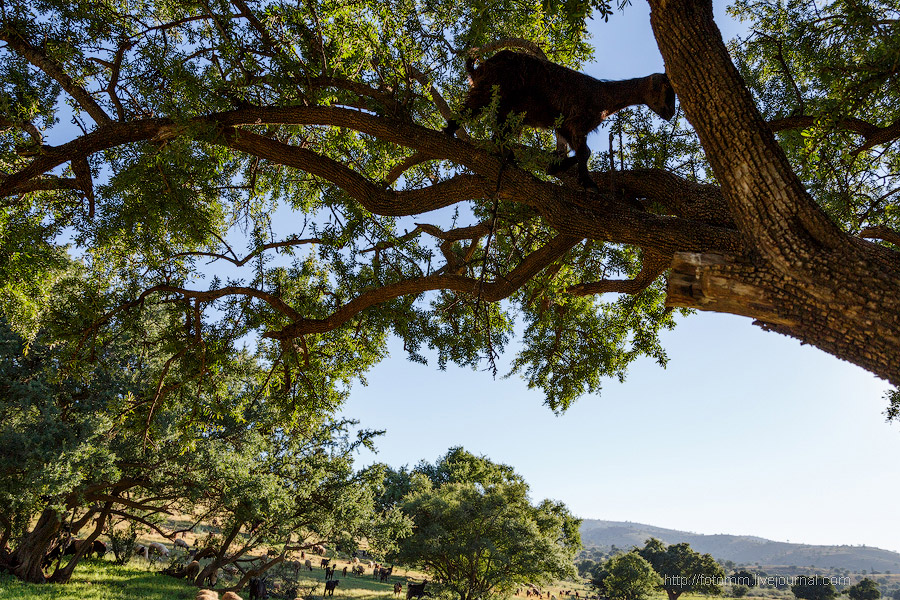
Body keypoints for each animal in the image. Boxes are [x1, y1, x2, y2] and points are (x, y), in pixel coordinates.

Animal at [444, 49, 676, 191]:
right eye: (667, 92)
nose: (671, 113)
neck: (602, 96)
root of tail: (481, 67)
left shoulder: (566, 127)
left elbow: (582, 152)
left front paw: (556, 167)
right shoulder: (577, 122)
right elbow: (584, 152)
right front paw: (587, 182)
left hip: (508, 109)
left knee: (497, 132)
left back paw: (507, 155)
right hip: (491, 90)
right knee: (468, 111)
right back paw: (448, 131)